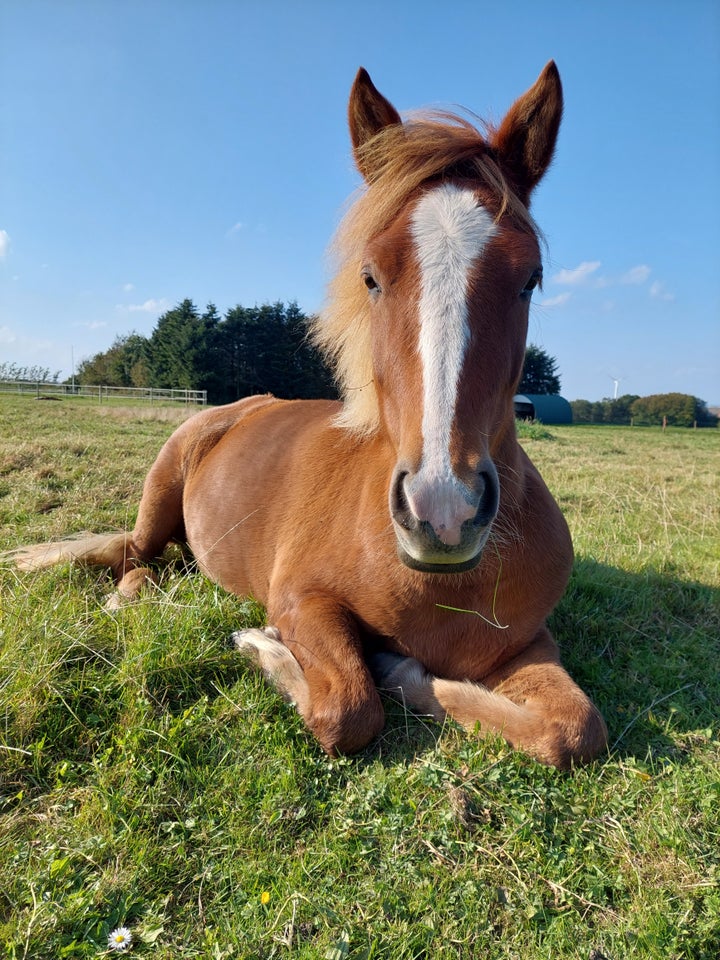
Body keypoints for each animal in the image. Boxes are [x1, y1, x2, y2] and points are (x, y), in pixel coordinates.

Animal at [7, 63, 608, 768]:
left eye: (530, 278)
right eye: (371, 276)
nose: (443, 511)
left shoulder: (527, 642)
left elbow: (572, 729)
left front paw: (403, 672)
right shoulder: (301, 599)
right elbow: (345, 707)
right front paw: (264, 647)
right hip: (160, 494)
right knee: (134, 559)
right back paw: (137, 599)